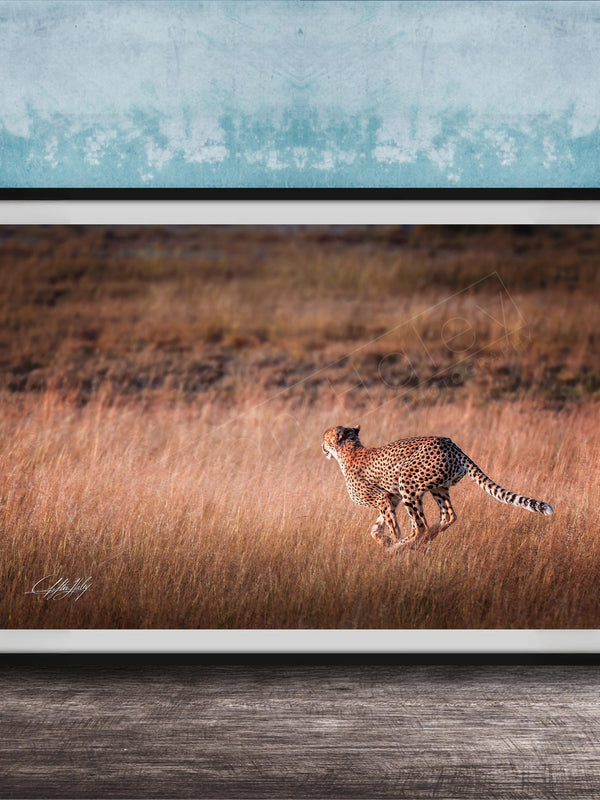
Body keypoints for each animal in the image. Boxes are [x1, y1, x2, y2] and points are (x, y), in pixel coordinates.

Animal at [322, 424, 553, 551]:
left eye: (325, 438)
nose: (322, 447)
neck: (349, 450)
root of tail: (452, 444)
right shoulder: (391, 498)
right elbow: (376, 527)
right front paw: (383, 539)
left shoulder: (382, 498)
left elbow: (393, 526)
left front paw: (392, 543)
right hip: (438, 488)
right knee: (448, 516)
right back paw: (426, 537)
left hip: (408, 482)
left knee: (420, 526)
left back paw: (405, 545)